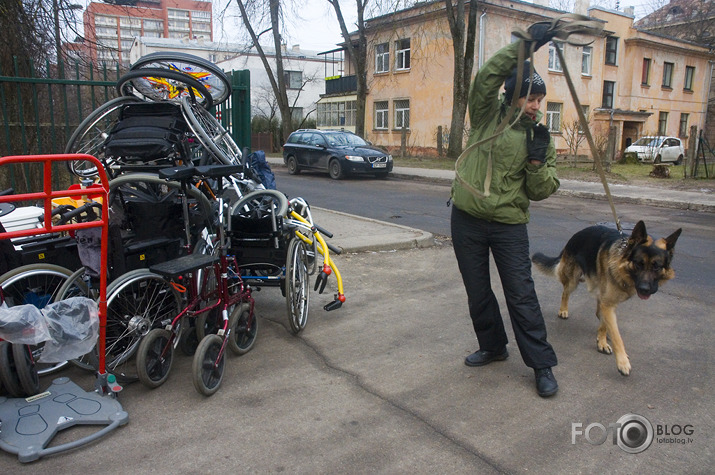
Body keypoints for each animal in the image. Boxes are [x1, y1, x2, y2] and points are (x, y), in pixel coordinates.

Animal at [536, 221, 680, 378]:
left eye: (657, 267)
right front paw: (622, 362)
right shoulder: (608, 303)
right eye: (638, 263)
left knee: (598, 312)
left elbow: (606, 324)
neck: (621, 261)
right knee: (565, 292)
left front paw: (602, 341)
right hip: (573, 280)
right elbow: (617, 337)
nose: (644, 289)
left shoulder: (609, 302)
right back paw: (563, 310)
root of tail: (575, 235)